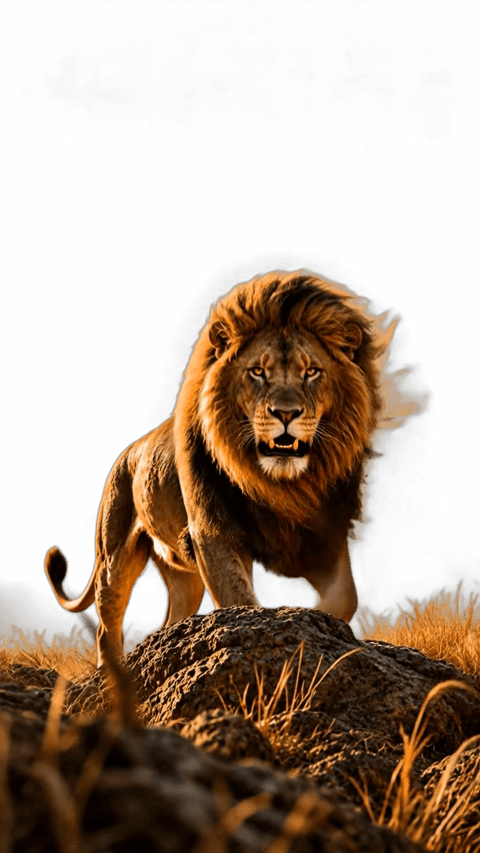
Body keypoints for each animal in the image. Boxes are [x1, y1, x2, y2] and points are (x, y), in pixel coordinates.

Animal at [44, 269, 426, 668]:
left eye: (311, 372)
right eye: (257, 372)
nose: (286, 414)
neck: (278, 483)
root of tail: (125, 454)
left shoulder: (324, 534)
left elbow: (344, 600)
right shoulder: (212, 533)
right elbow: (241, 601)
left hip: (183, 577)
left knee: (171, 618)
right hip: (116, 557)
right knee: (107, 623)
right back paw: (113, 672)